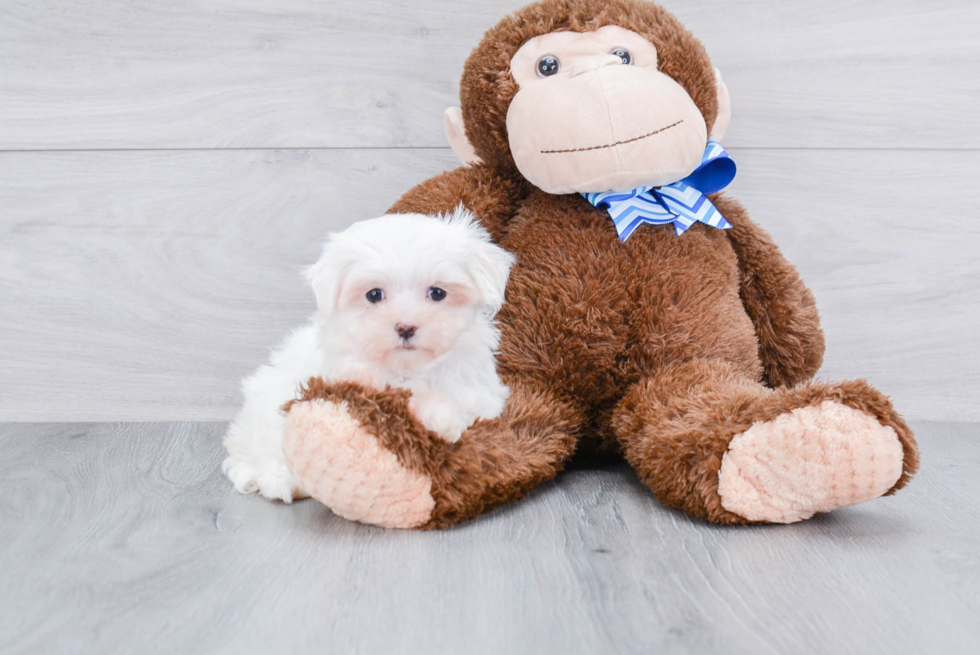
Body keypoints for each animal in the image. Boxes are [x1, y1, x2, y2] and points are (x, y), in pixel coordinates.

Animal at [220, 208, 512, 504]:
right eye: (374, 294)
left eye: (437, 293)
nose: (406, 327)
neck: (408, 368)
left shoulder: (481, 395)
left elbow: (460, 404)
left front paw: (440, 419)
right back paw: (283, 480)